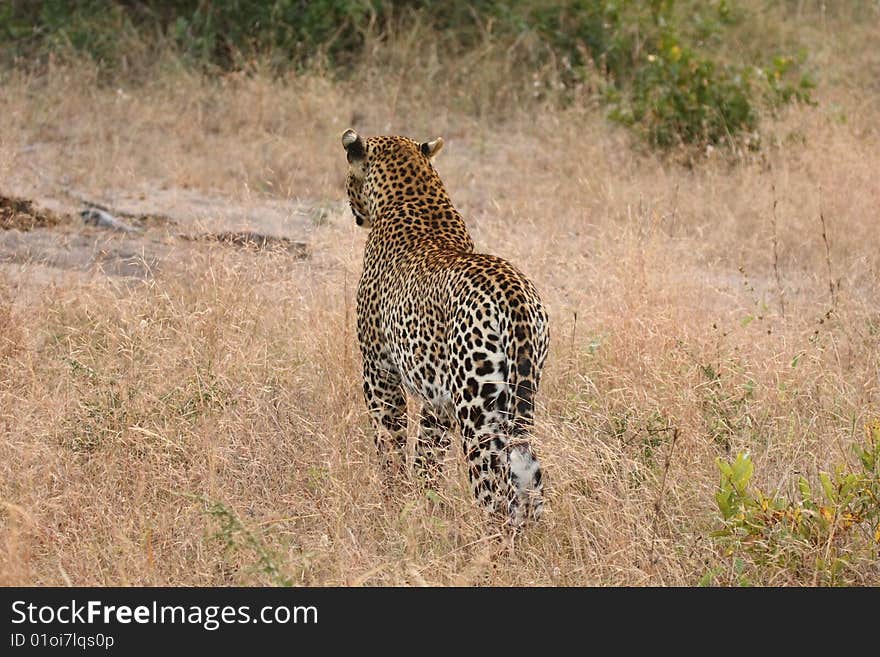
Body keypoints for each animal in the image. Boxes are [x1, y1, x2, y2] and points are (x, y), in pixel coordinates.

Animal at [340, 129, 548, 528]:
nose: (354, 214)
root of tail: (512, 291)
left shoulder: (378, 370)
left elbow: (390, 439)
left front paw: (392, 500)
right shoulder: (438, 398)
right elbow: (427, 454)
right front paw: (424, 504)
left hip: (478, 408)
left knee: (494, 490)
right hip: (519, 395)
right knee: (530, 478)